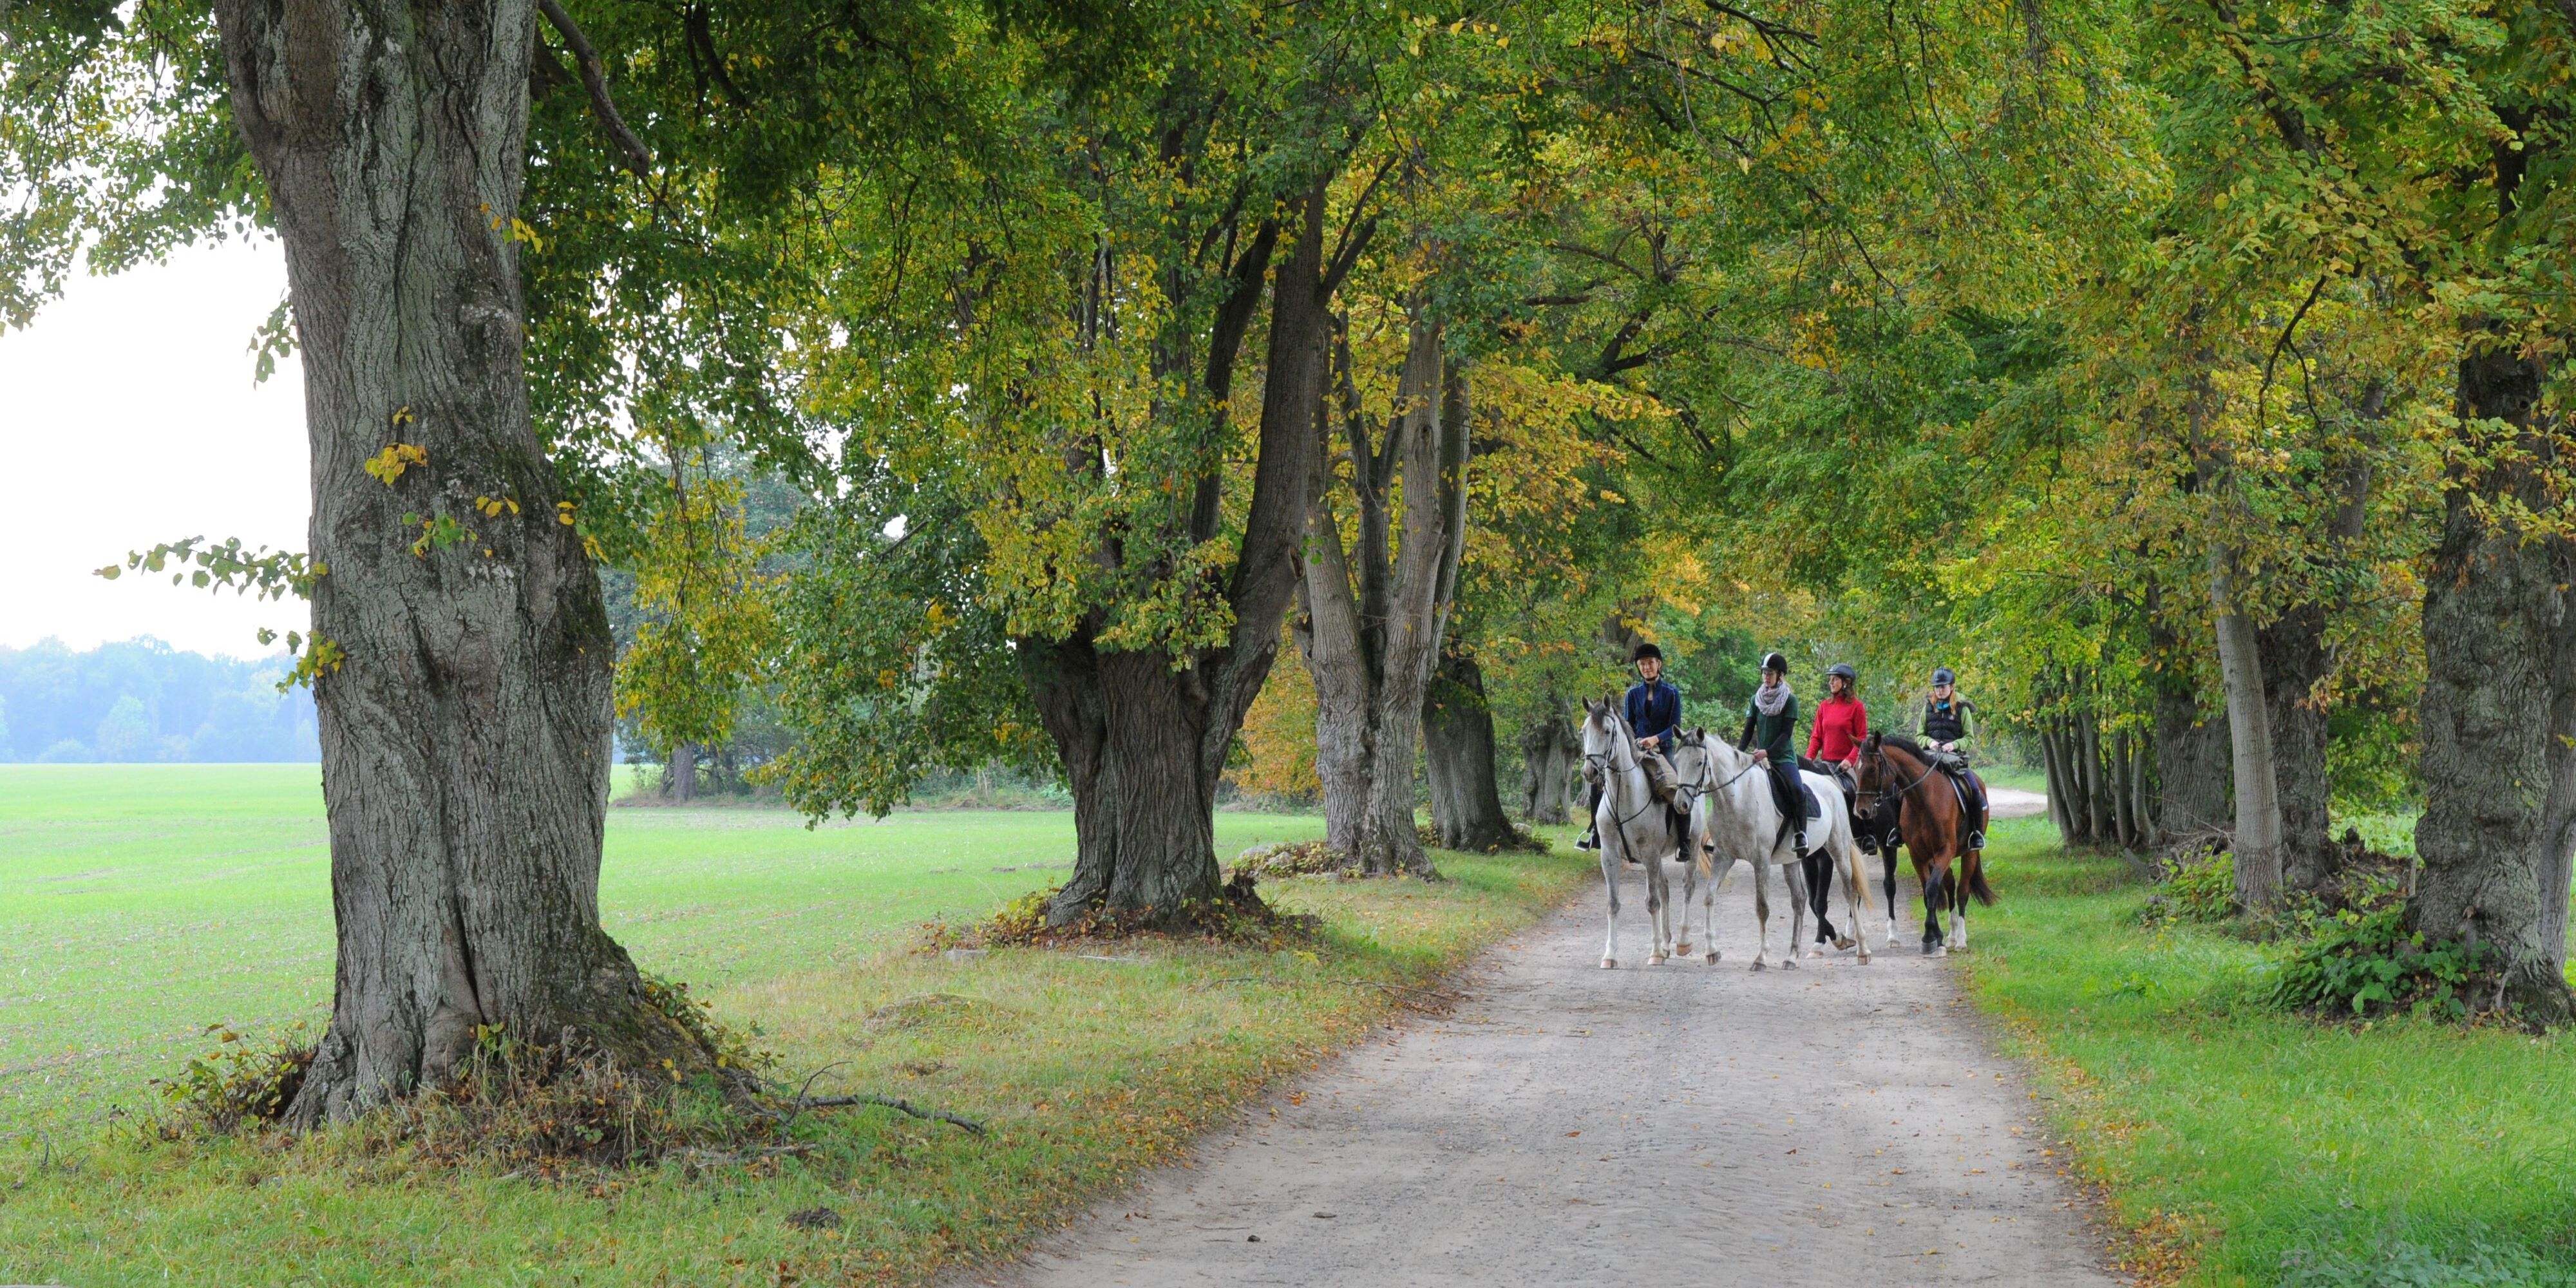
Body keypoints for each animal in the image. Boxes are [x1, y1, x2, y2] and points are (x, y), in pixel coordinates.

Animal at [1577, 701, 1700, 969]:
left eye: (1608, 732)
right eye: (1583, 731)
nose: (1590, 772)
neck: (1625, 798)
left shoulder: (1650, 854)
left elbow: (1652, 903)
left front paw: (1654, 954)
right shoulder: (1610, 856)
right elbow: (1613, 904)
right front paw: (1610, 955)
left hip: (1692, 849)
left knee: (1688, 887)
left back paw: (1682, 943)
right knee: (1665, 889)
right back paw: (1666, 944)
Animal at [1680, 726, 1886, 969]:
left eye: (1699, 762)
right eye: (1678, 761)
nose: (1682, 804)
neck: (1737, 798)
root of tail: (1830, 784)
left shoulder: (1761, 861)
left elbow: (1762, 907)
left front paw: (1760, 957)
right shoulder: (1724, 857)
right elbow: (1709, 896)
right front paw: (1712, 951)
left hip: (1838, 848)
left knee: (1850, 892)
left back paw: (1862, 949)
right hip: (1792, 860)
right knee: (1800, 900)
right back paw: (1791, 956)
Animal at [1865, 732, 1999, 953]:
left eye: (1872, 769)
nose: (1863, 809)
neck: (1923, 799)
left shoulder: (1945, 850)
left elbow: (1933, 887)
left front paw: (1930, 937)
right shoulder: (1918, 855)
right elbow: (1929, 891)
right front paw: (1936, 936)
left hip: (1969, 853)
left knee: (1962, 891)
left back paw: (1960, 939)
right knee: (1950, 883)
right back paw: (1951, 936)